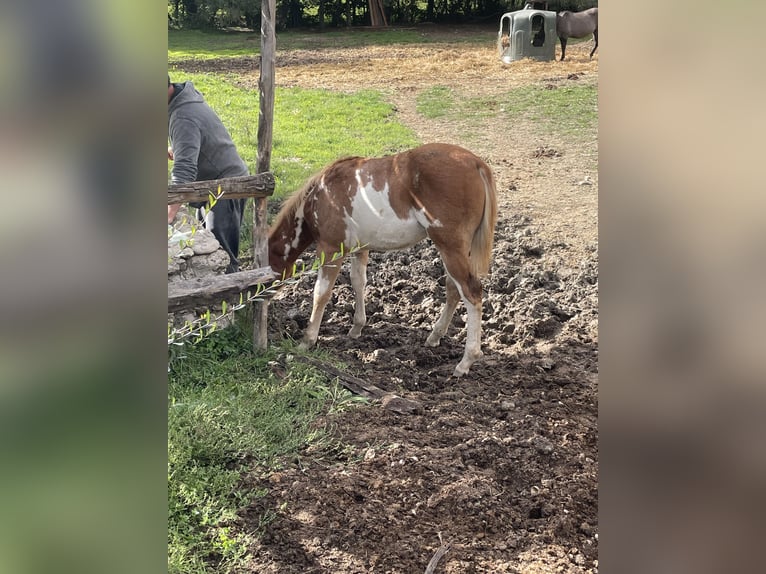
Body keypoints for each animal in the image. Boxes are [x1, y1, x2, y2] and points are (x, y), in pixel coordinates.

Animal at [268, 143, 498, 377]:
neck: (321, 195)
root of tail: (476, 163)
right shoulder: (360, 249)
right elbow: (358, 282)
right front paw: (357, 328)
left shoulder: (330, 249)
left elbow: (321, 293)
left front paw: (307, 340)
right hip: (455, 250)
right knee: (453, 289)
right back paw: (434, 337)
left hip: (450, 247)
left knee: (471, 293)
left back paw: (466, 361)